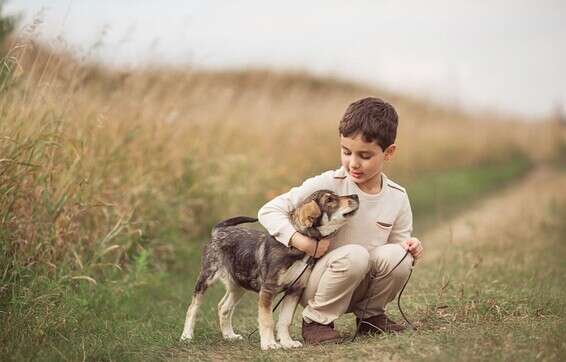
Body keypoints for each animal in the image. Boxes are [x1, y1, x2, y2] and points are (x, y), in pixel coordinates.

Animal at [181, 191, 360, 350]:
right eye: (330, 200)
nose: (355, 196)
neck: (297, 248)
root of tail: (218, 230)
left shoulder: (294, 290)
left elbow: (285, 320)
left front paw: (287, 342)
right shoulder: (268, 290)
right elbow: (267, 321)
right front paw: (269, 344)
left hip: (238, 284)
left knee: (223, 307)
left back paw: (229, 335)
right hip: (207, 277)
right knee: (193, 307)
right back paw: (187, 336)